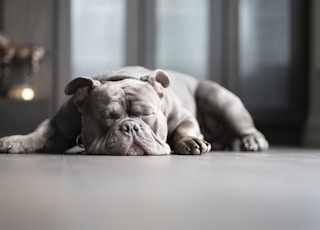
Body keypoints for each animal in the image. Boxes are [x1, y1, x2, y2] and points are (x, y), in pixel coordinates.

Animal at [0, 65, 270, 155]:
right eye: (107, 117)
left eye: (147, 114)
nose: (130, 126)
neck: (122, 77)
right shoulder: (58, 125)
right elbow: (40, 133)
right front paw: (17, 141)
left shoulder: (183, 117)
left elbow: (185, 130)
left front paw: (190, 142)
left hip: (219, 98)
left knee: (245, 126)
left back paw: (252, 140)